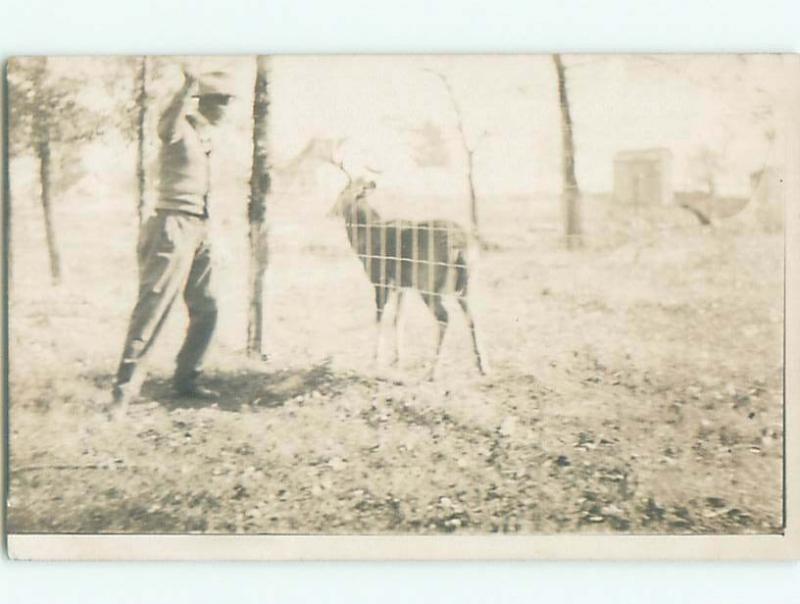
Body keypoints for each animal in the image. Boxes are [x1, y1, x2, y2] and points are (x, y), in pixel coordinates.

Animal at [326, 160, 488, 378]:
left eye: (342, 191)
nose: (331, 211)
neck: (368, 237)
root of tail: (460, 247)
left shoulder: (380, 280)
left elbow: (380, 317)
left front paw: (375, 361)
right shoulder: (402, 287)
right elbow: (398, 320)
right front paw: (397, 360)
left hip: (428, 285)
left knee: (444, 317)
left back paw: (432, 371)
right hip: (464, 286)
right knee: (472, 317)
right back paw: (483, 367)